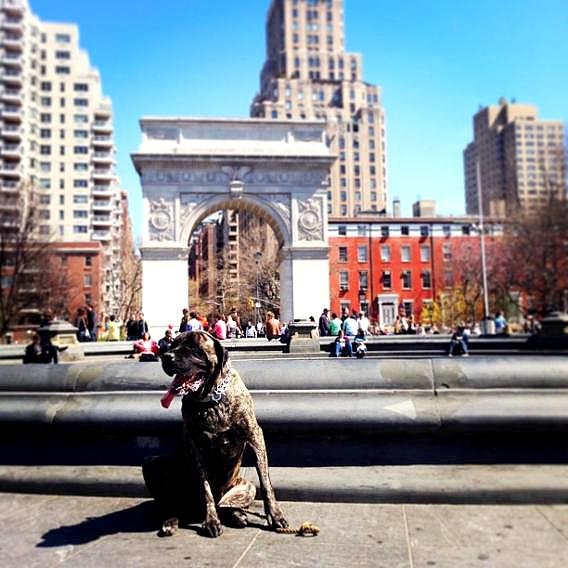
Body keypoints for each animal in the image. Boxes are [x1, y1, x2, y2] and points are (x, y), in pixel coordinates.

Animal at [140, 330, 286, 536]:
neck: (211, 397)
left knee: (226, 504)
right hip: (152, 464)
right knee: (170, 504)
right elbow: (205, 488)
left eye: (193, 348)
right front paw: (211, 521)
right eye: (172, 345)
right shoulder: (196, 448)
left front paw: (275, 515)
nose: (167, 357)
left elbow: (265, 482)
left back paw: (237, 515)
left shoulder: (255, 436)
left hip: (246, 487)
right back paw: (171, 520)